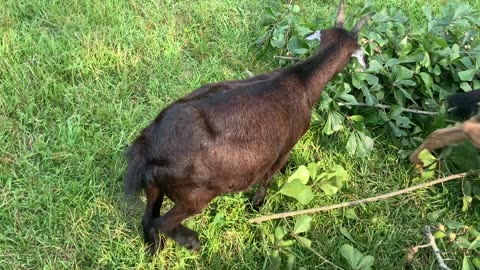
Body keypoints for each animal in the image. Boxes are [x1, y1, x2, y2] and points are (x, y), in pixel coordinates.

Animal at [125, 0, 374, 253]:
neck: (302, 81)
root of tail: (148, 149)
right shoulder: (284, 146)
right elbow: (268, 177)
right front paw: (257, 204)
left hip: (155, 186)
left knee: (148, 218)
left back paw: (155, 248)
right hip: (194, 194)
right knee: (161, 221)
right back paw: (192, 241)